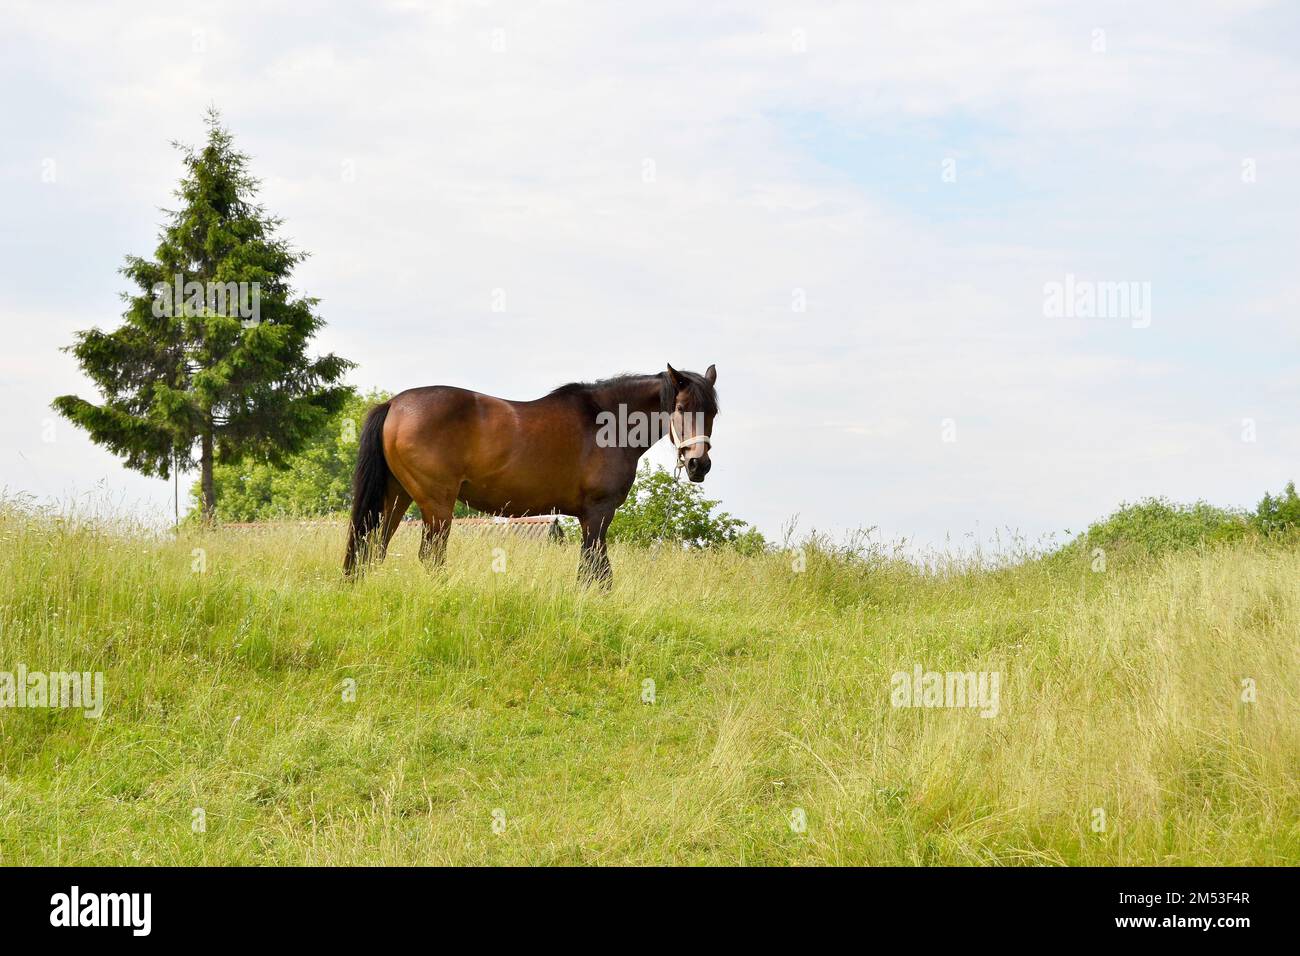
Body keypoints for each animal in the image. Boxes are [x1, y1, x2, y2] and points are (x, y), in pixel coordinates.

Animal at [343, 363, 718, 585]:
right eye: (680, 408)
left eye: (713, 411)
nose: (698, 465)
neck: (606, 422)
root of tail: (393, 404)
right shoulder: (598, 513)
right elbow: (597, 571)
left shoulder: (589, 518)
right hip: (436, 504)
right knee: (431, 556)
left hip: (396, 496)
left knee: (372, 548)